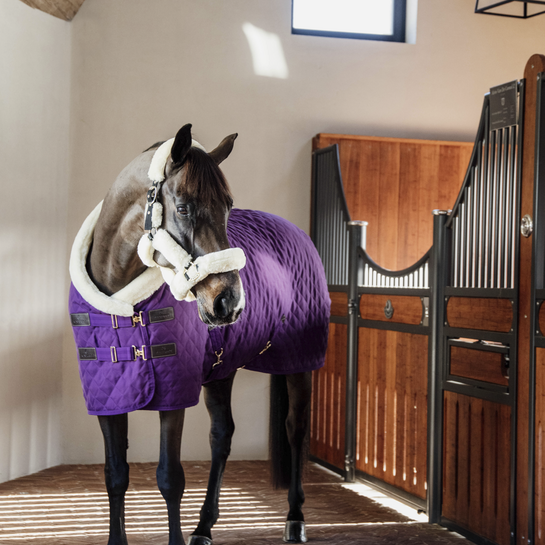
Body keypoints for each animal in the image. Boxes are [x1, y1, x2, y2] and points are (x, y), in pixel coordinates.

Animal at [69, 124, 330, 544]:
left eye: (228, 206)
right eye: (183, 208)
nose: (229, 302)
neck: (121, 304)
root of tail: (295, 232)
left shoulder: (174, 394)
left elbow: (169, 478)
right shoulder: (106, 396)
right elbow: (115, 475)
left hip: (299, 363)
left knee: (295, 432)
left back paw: (295, 519)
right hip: (222, 370)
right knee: (222, 437)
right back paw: (205, 526)